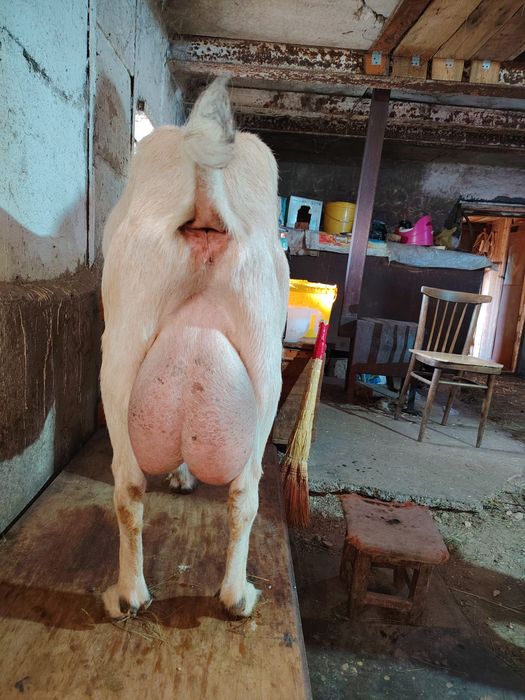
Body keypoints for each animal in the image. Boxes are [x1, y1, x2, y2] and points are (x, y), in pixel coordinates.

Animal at [100, 77, 289, 618]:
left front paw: (180, 476)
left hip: (122, 347)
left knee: (129, 485)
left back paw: (131, 596)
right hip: (262, 364)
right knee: (242, 492)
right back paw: (232, 597)